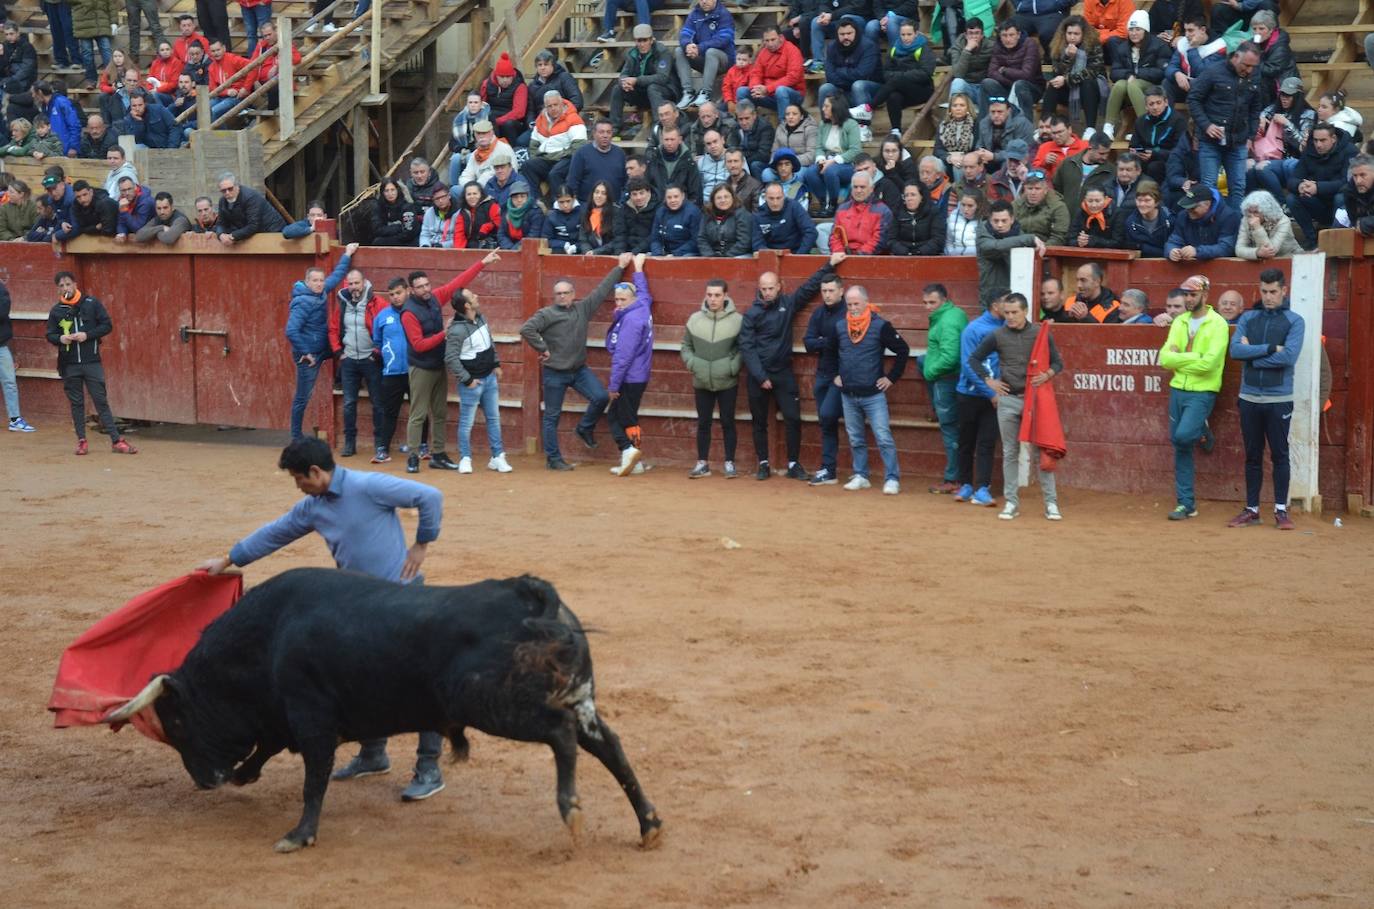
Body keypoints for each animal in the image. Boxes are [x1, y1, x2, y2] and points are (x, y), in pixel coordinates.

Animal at [104, 571, 662, 856]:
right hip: (578, 698)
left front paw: (299, 835)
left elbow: (313, 780)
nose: (204, 781)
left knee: (562, 736)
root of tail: (528, 592)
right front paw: (246, 776)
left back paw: (572, 810)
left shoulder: (312, 719)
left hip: (497, 706)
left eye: (177, 723)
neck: (269, 634)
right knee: (610, 746)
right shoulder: (286, 715)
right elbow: (266, 745)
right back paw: (649, 825)